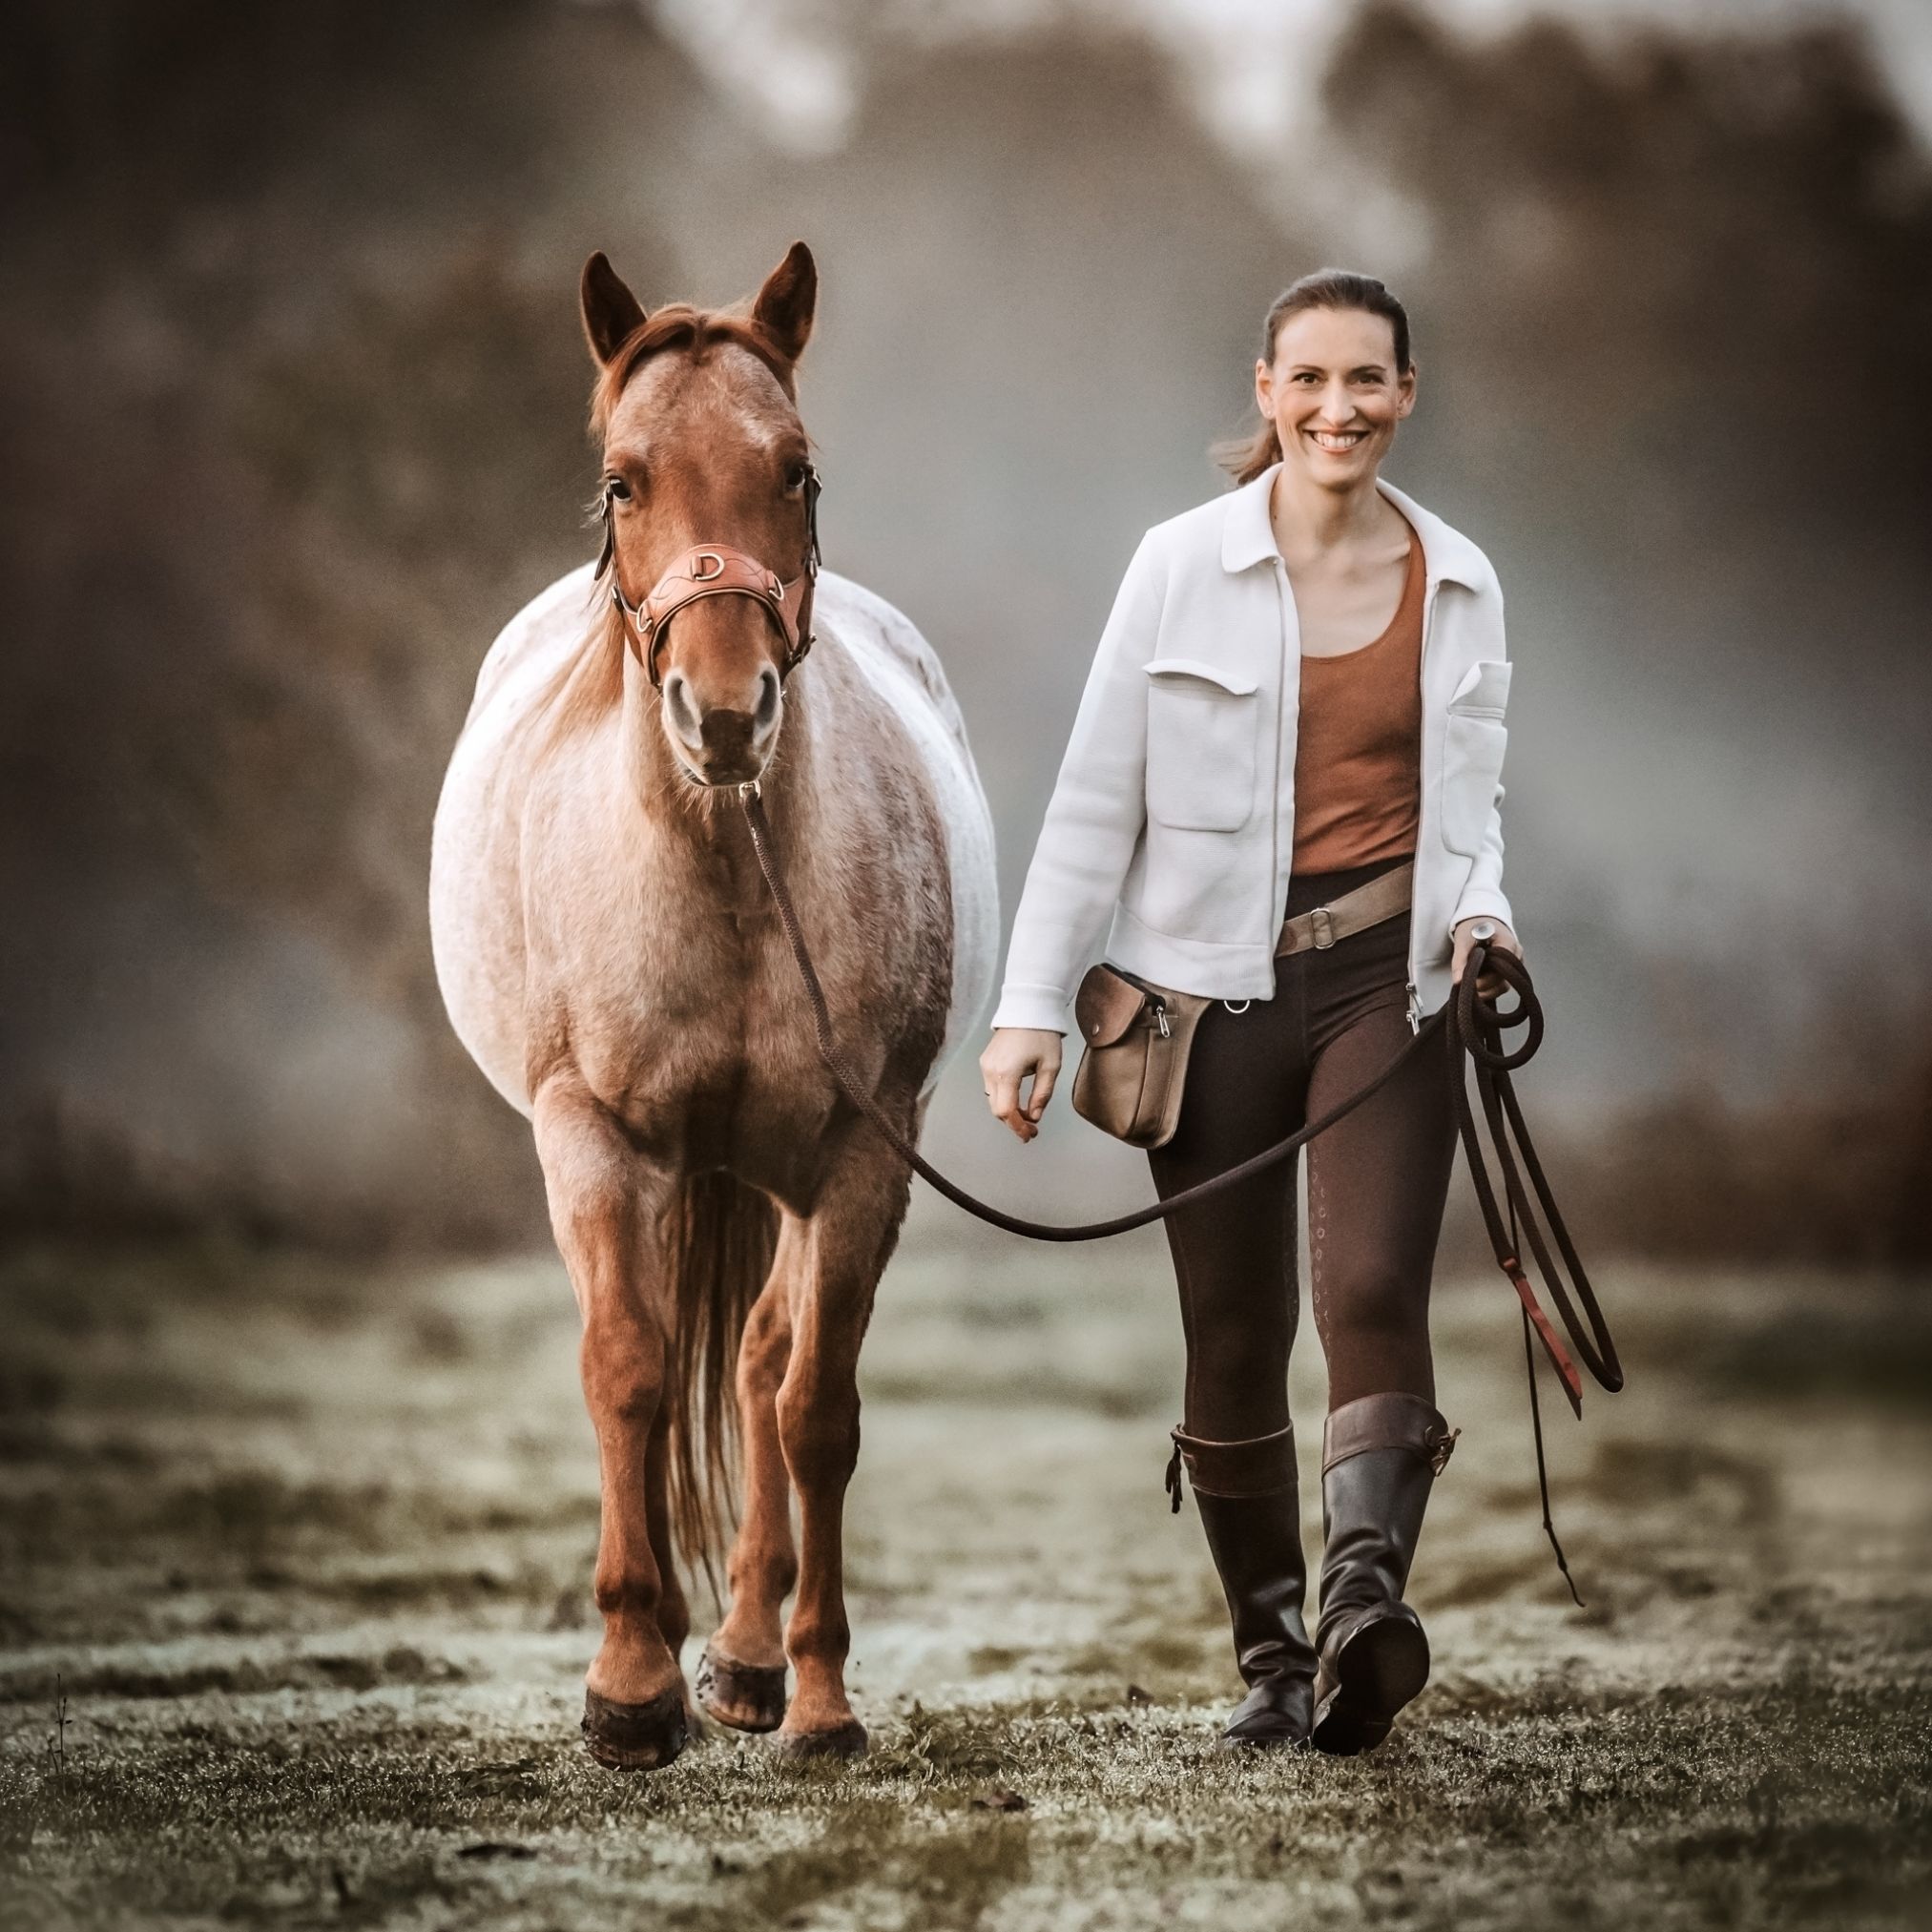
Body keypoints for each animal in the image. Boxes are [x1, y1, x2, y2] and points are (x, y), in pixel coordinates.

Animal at [426, 245, 996, 1769]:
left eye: (796, 471)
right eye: (622, 481)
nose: (725, 714)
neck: (726, 871)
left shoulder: (860, 1159)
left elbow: (815, 1410)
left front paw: (819, 1696)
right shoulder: (594, 1139)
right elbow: (626, 1368)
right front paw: (628, 1686)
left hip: (783, 1175)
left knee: (758, 1367)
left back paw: (745, 1663)